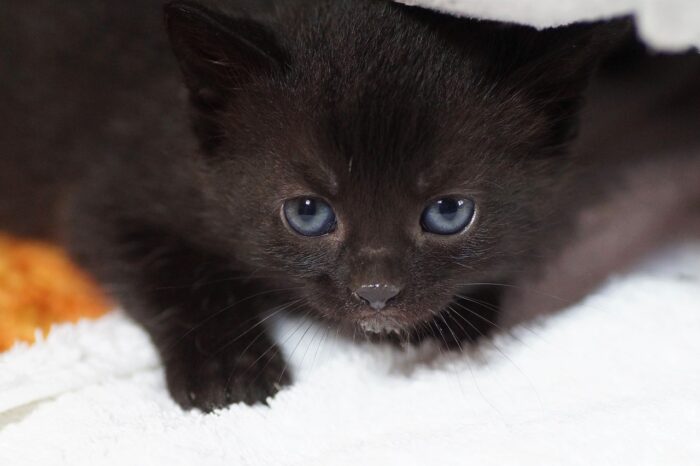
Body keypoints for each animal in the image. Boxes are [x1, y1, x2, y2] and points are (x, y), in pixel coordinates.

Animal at [1, 0, 700, 410]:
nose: (377, 293)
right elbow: (174, 271)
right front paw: (227, 368)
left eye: (449, 212)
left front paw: (455, 318)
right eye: (308, 213)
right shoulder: (114, 187)